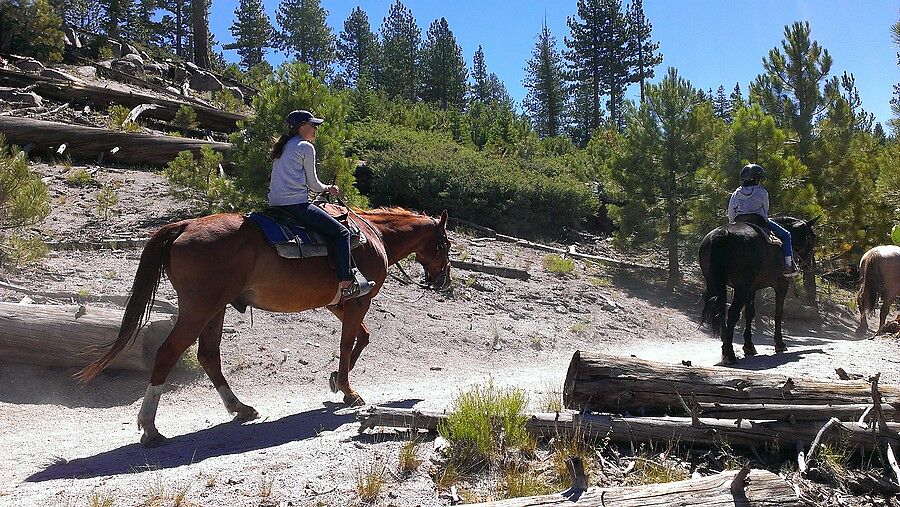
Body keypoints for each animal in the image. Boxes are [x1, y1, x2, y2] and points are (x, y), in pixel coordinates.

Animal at [77, 208, 450, 446]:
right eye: (446, 245)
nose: (443, 281)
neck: (375, 235)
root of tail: (184, 225)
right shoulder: (358, 301)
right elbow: (349, 343)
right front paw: (347, 389)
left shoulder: (339, 304)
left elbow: (363, 337)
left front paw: (335, 380)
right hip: (199, 309)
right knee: (169, 353)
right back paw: (150, 428)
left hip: (215, 309)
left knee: (209, 355)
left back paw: (240, 408)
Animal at [700, 216, 820, 364]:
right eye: (812, 236)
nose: (811, 265)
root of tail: (723, 234)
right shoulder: (781, 285)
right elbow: (778, 313)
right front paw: (780, 344)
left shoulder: (752, 289)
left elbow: (749, 313)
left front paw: (749, 346)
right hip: (741, 287)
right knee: (732, 313)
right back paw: (730, 354)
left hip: (717, 284)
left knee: (721, 310)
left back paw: (725, 347)